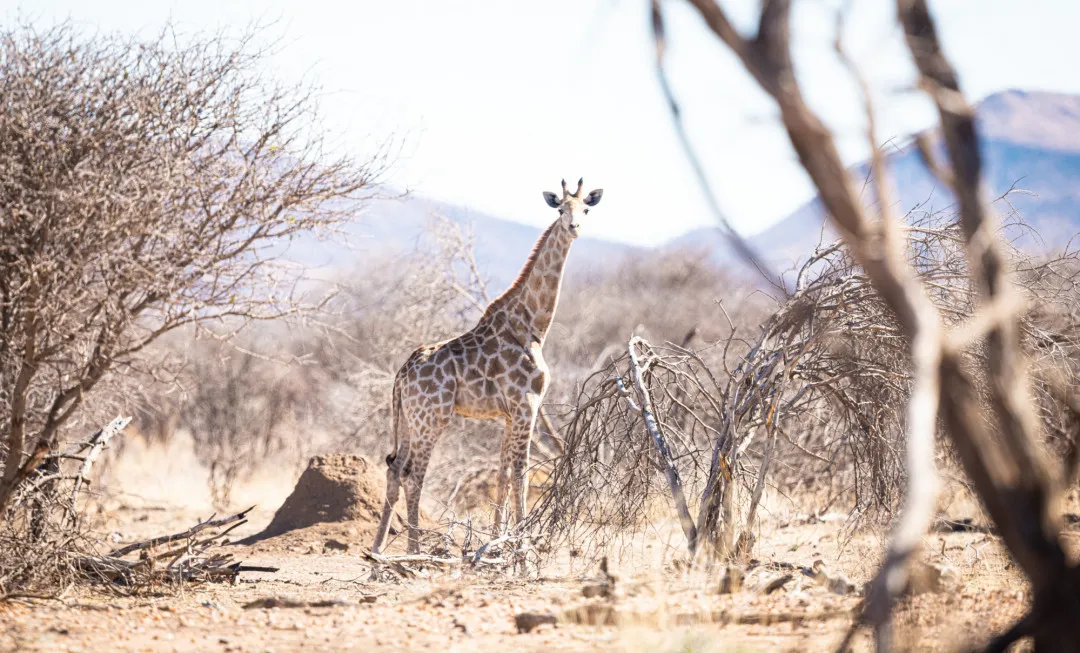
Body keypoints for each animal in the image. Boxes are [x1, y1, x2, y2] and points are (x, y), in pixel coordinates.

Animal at [371, 178, 603, 554]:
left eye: (585, 209)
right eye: (560, 210)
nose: (574, 227)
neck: (532, 326)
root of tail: (401, 374)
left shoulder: (508, 413)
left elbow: (503, 474)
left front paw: (498, 543)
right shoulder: (526, 405)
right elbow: (522, 474)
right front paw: (521, 549)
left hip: (407, 418)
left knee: (395, 469)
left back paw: (378, 551)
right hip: (431, 419)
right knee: (413, 475)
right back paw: (414, 551)